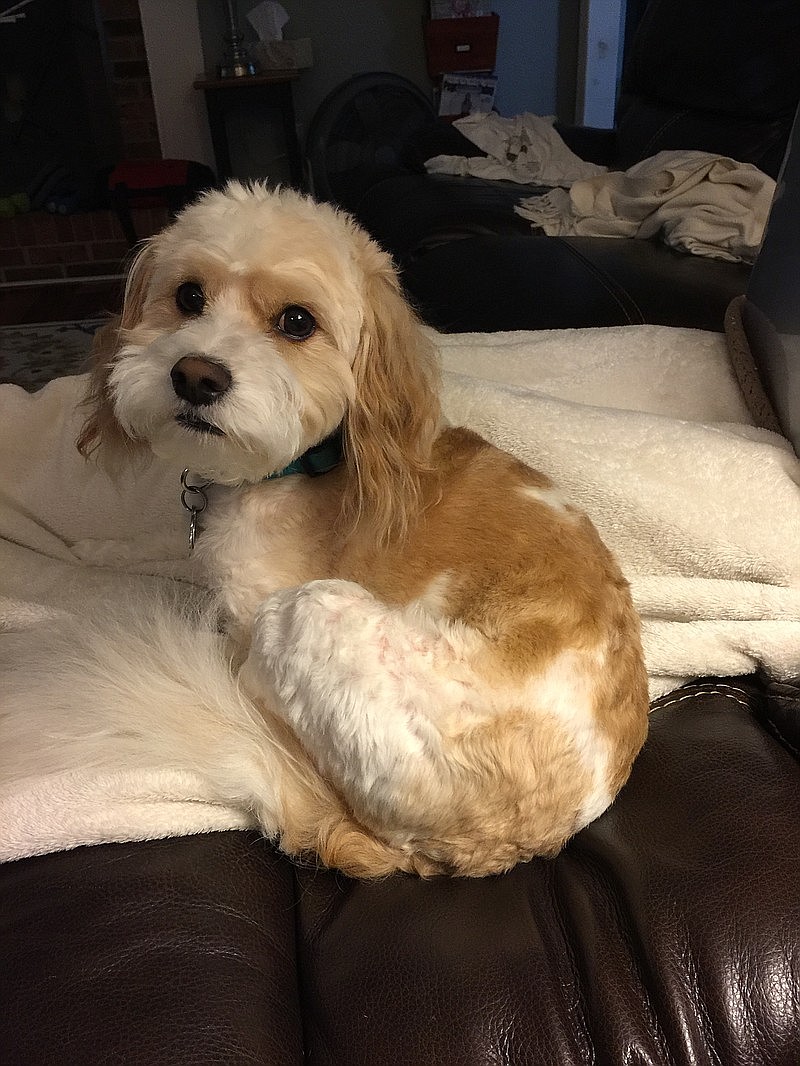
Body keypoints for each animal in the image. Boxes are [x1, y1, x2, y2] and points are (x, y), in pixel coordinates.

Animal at [70, 181, 652, 874]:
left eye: (297, 322)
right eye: (188, 296)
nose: (195, 375)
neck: (299, 465)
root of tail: (516, 845)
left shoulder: (254, 607)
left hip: (312, 615)